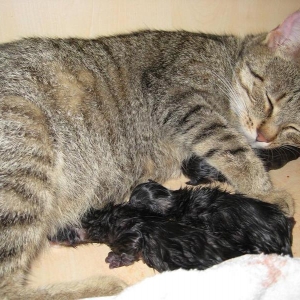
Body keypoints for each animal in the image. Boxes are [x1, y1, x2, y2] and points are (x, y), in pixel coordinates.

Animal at [0, 8, 300, 298]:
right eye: (271, 100)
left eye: (293, 127)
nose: (264, 136)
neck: (226, 61)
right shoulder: (180, 98)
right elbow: (233, 148)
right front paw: (266, 192)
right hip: (25, 153)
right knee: (10, 289)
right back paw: (102, 288)